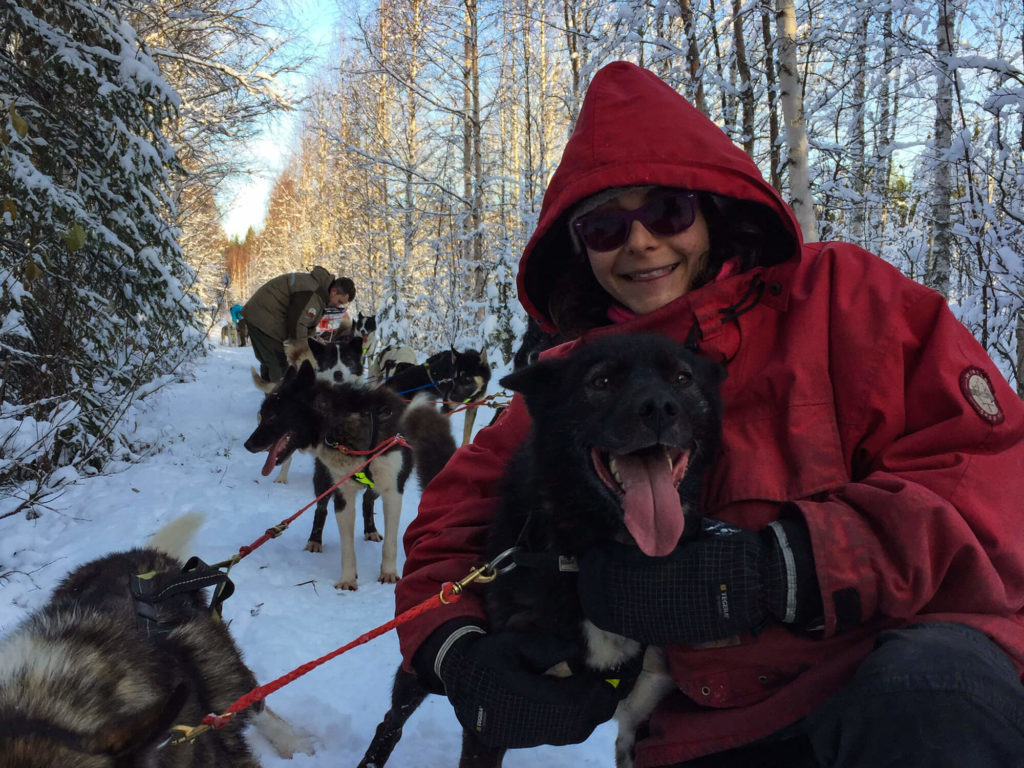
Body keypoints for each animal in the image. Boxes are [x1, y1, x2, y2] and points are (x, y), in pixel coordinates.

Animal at [360, 335, 729, 768]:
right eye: (601, 381)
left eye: (682, 378)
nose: (658, 407)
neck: (589, 558)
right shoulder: (496, 706)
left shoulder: (640, 723)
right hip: (421, 668)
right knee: (391, 721)